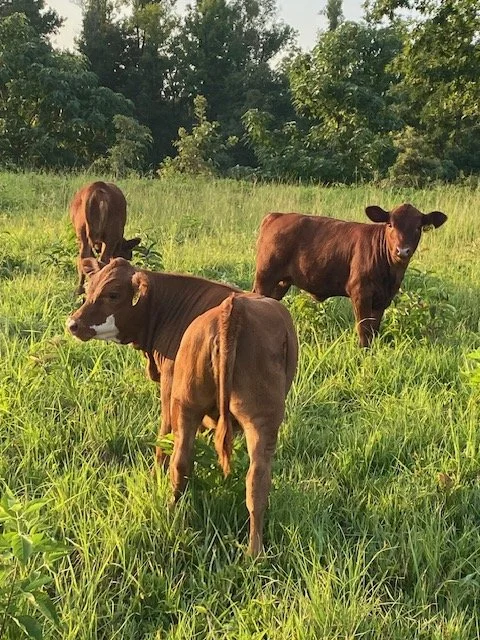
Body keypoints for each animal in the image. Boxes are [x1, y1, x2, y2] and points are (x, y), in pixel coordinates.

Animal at [66, 258, 298, 556]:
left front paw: (154, 476)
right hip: (249, 416)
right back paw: (252, 552)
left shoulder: (167, 384)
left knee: (182, 458)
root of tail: (233, 307)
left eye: (113, 294)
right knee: (252, 479)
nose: (73, 323)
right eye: (88, 288)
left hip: (191, 404)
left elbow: (162, 442)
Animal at [253, 203, 448, 347]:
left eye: (418, 227)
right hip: (265, 276)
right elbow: (364, 329)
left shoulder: (383, 299)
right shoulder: (360, 292)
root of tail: (277, 215)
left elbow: (374, 329)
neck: (390, 274)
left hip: (281, 282)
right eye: (390, 225)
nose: (402, 251)